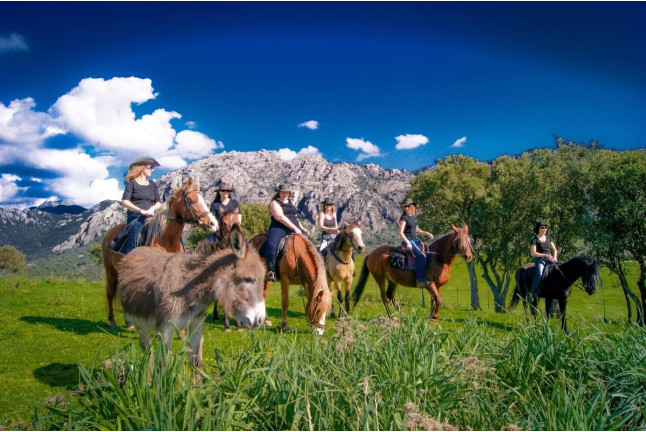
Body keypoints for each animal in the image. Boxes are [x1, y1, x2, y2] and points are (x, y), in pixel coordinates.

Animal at [101, 178, 218, 328]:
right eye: (192, 201)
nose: (213, 224)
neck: (166, 239)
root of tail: (109, 233)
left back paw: (129, 323)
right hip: (110, 270)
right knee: (110, 293)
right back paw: (112, 321)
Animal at [117, 224, 266, 369]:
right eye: (248, 279)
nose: (260, 320)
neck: (187, 287)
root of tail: (136, 250)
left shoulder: (196, 324)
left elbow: (197, 363)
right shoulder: (166, 328)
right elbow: (164, 366)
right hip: (139, 324)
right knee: (147, 350)